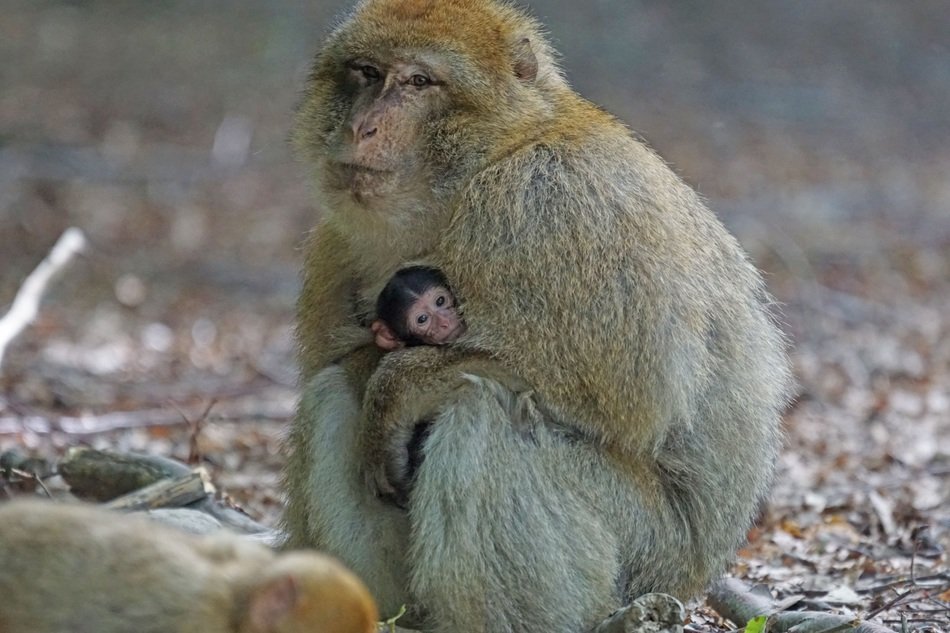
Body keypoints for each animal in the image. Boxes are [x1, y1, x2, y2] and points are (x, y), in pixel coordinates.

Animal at [282, 1, 792, 632]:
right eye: (367, 73)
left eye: (420, 82)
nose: (361, 128)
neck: (484, 165)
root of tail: (699, 571)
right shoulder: (335, 243)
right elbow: (340, 369)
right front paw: (372, 372)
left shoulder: (554, 203)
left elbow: (630, 396)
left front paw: (396, 387)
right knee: (334, 396)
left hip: (650, 550)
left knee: (488, 412)